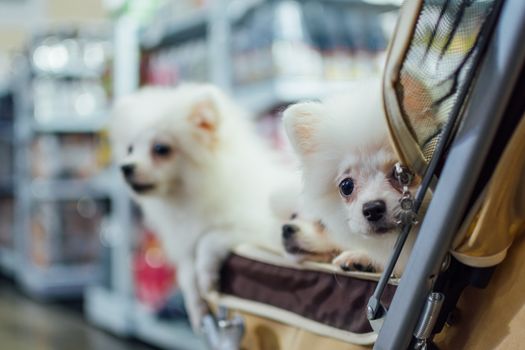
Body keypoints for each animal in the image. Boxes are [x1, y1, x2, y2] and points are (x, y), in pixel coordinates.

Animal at [110, 83, 290, 330]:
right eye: (130, 149)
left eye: (160, 148)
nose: (125, 167)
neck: (186, 198)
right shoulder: (186, 243)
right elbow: (186, 271)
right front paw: (195, 305)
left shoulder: (257, 229)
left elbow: (210, 238)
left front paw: (206, 276)